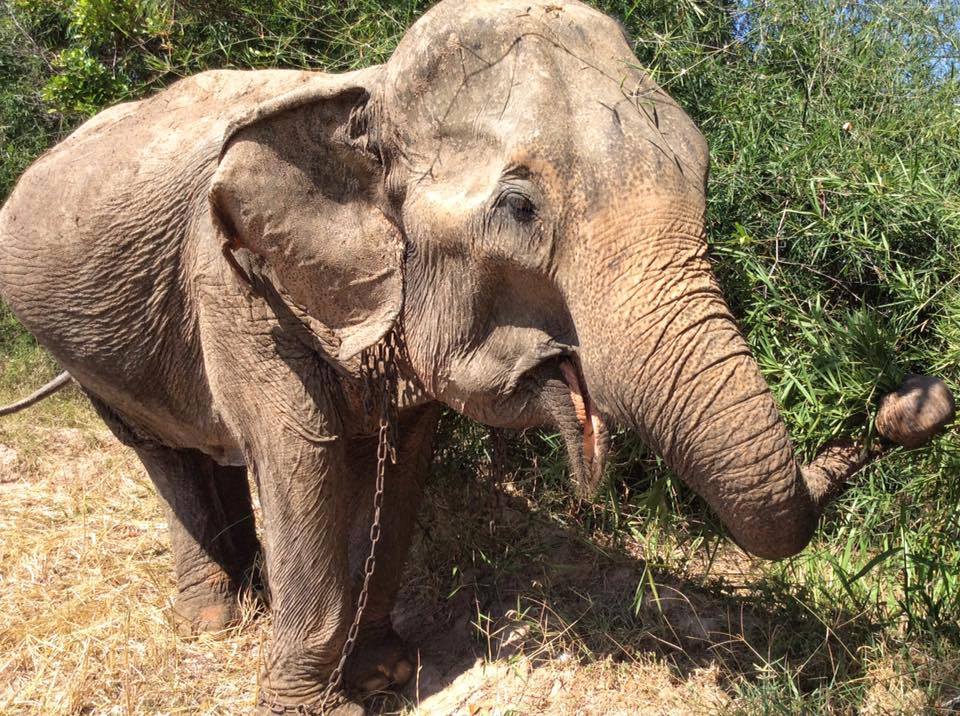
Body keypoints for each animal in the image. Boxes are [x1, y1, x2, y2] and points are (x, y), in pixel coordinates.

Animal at [0, 0, 953, 712]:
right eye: (520, 208)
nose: (917, 395)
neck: (369, 94)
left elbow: (400, 466)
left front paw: (385, 671)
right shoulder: (237, 292)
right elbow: (307, 464)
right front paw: (322, 705)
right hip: (80, 339)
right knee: (163, 451)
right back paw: (216, 623)